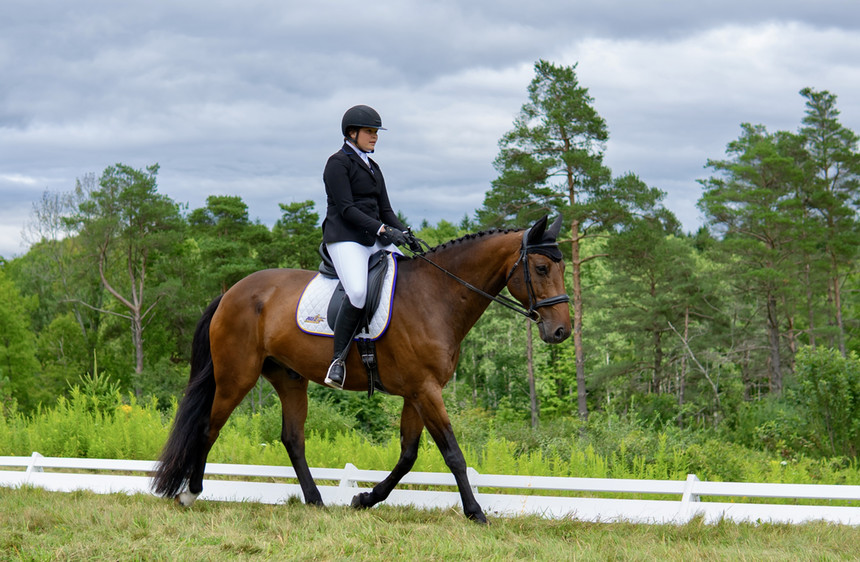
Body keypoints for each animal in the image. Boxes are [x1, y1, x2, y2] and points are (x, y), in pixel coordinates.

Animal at [152, 215, 571, 523]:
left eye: (561, 267)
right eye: (540, 267)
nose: (561, 331)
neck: (436, 296)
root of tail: (230, 293)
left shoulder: (416, 392)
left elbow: (408, 455)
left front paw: (365, 499)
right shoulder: (425, 390)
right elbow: (452, 453)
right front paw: (476, 512)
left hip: (289, 379)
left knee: (293, 438)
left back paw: (316, 501)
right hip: (236, 376)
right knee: (209, 427)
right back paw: (190, 494)